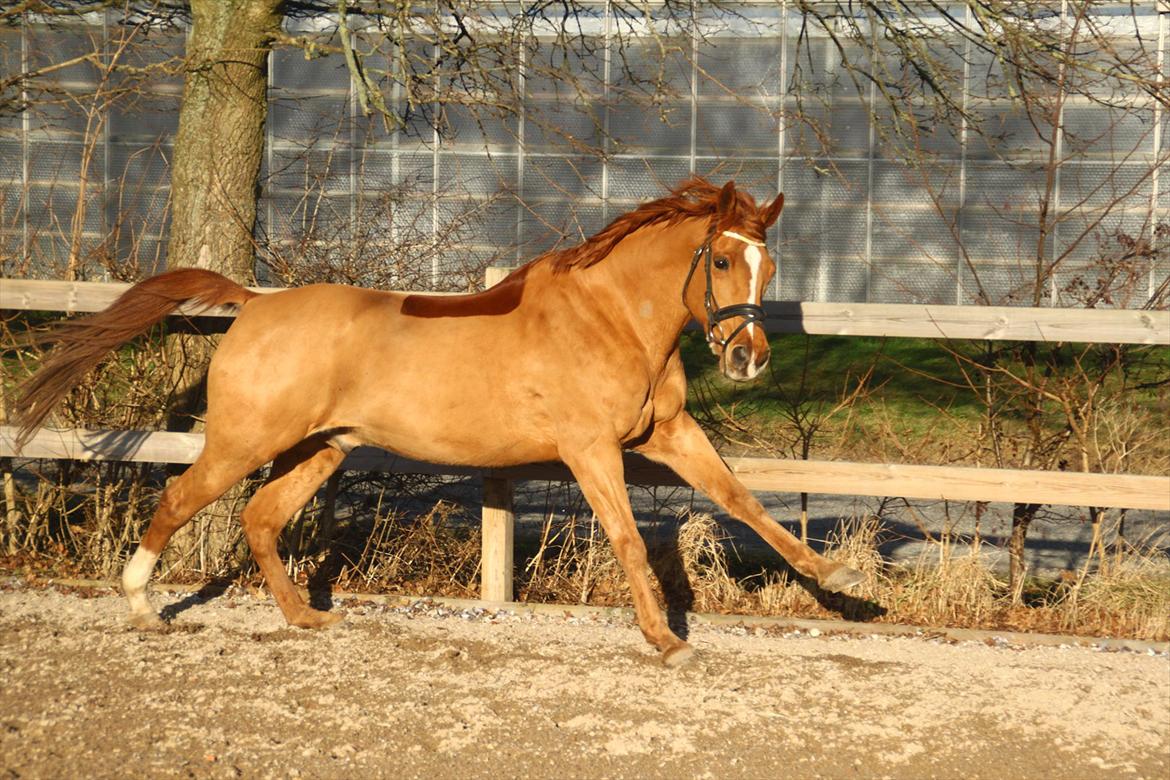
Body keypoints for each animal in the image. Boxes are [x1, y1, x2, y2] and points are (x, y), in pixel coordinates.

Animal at [16, 180, 861, 668]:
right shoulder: (590, 449)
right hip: (244, 440)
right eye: (719, 260)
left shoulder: (669, 433)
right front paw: (664, 640)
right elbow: (625, 536)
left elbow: (740, 497)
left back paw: (305, 618)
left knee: (259, 516)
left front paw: (838, 579)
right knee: (181, 498)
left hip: (322, 449)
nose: (748, 359)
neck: (609, 318)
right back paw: (142, 608)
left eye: (767, 266)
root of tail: (254, 304)